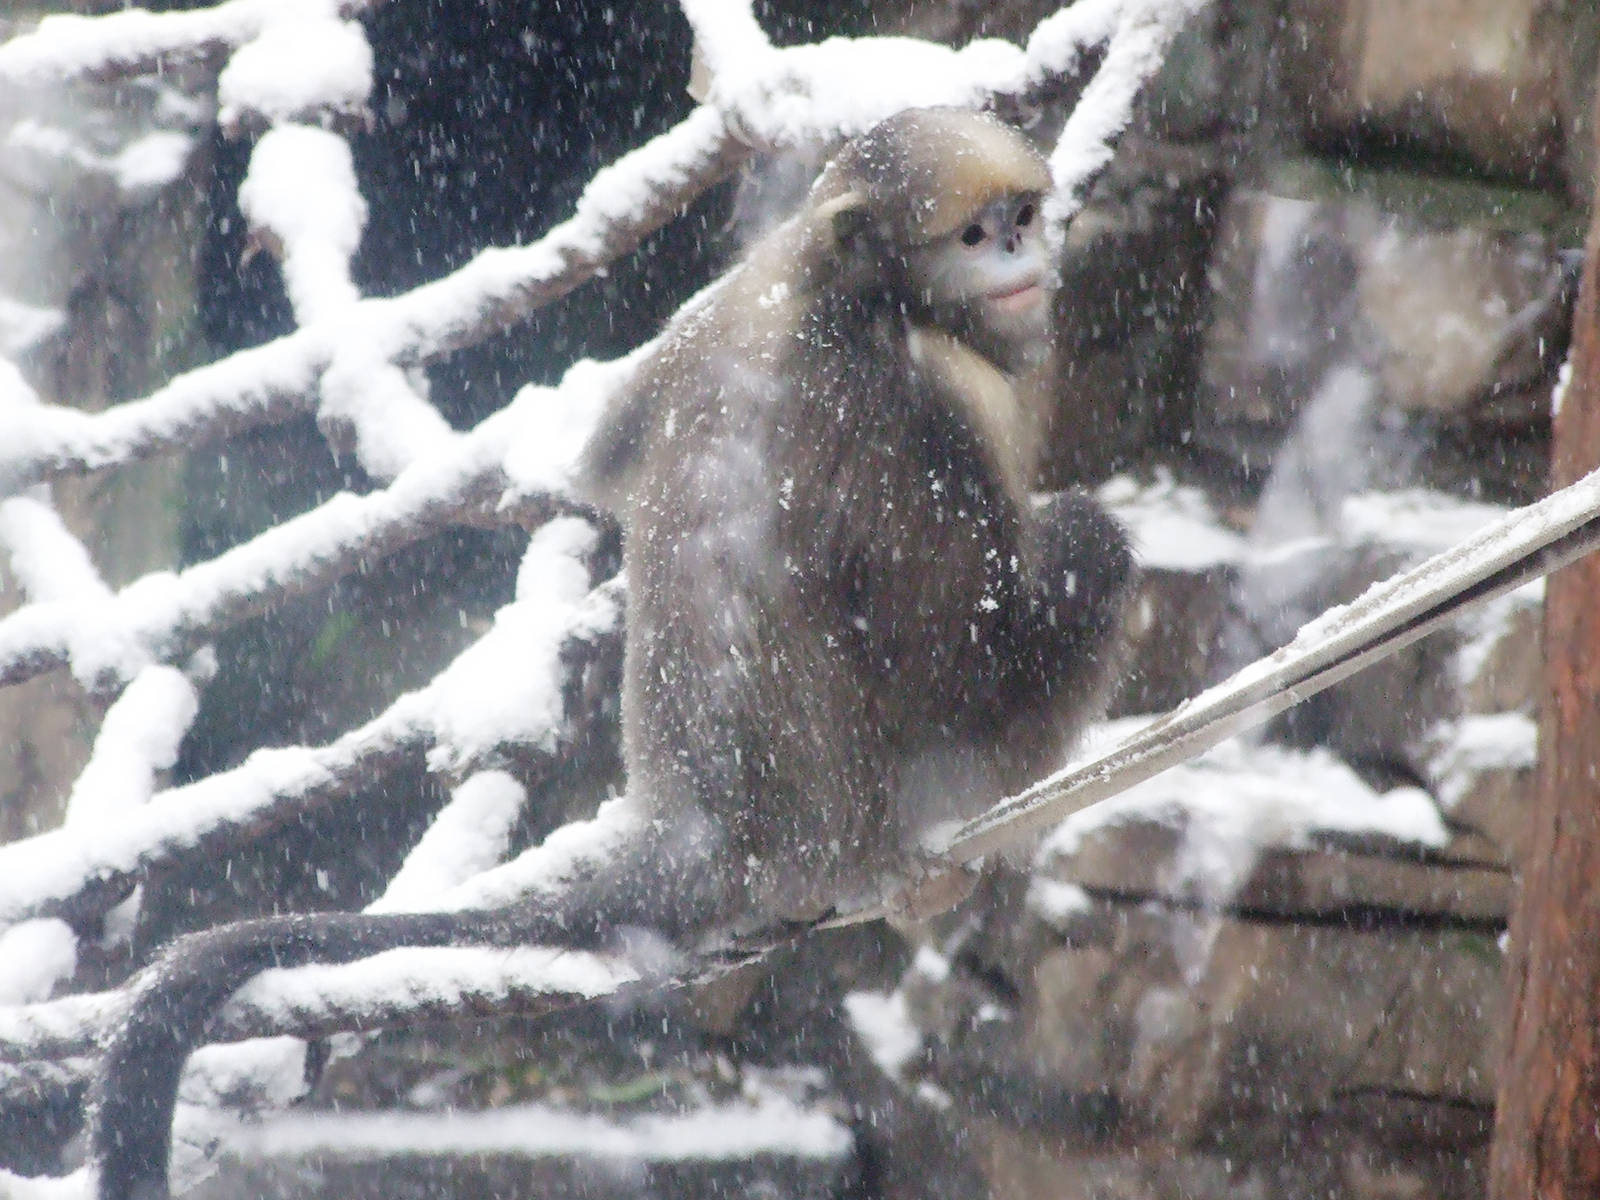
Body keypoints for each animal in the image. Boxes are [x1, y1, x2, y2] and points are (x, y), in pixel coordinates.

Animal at [87, 108, 1135, 1200]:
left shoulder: (713, 315)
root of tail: (704, 831)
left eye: (1021, 218)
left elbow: (594, 478)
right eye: (972, 236)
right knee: (1087, 551)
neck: (841, 286)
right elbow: (985, 625)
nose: (1019, 253)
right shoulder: (930, 406)